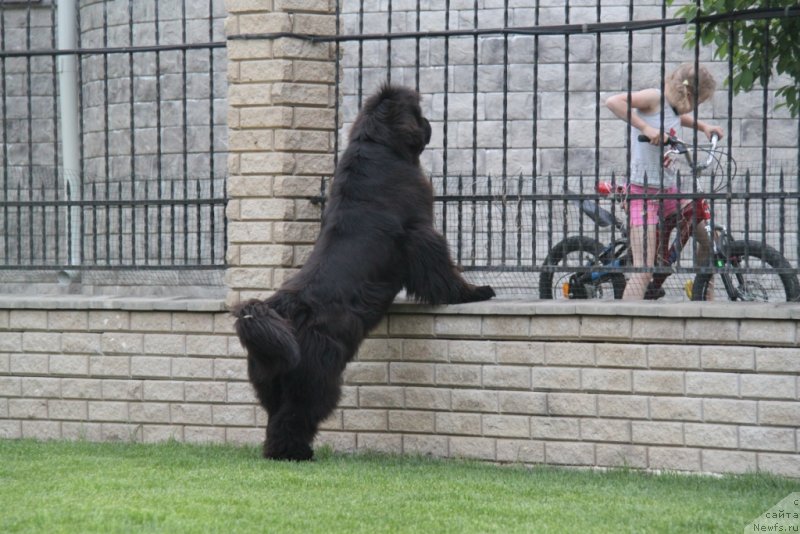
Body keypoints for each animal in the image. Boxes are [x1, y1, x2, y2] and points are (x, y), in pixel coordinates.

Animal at [231, 84, 494, 460]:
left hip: (269, 376)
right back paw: (296, 453)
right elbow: (444, 270)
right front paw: (474, 292)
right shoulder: (421, 232)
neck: (379, 145)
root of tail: (279, 308)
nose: (430, 123)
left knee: (273, 416)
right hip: (316, 377)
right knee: (296, 416)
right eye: (417, 113)